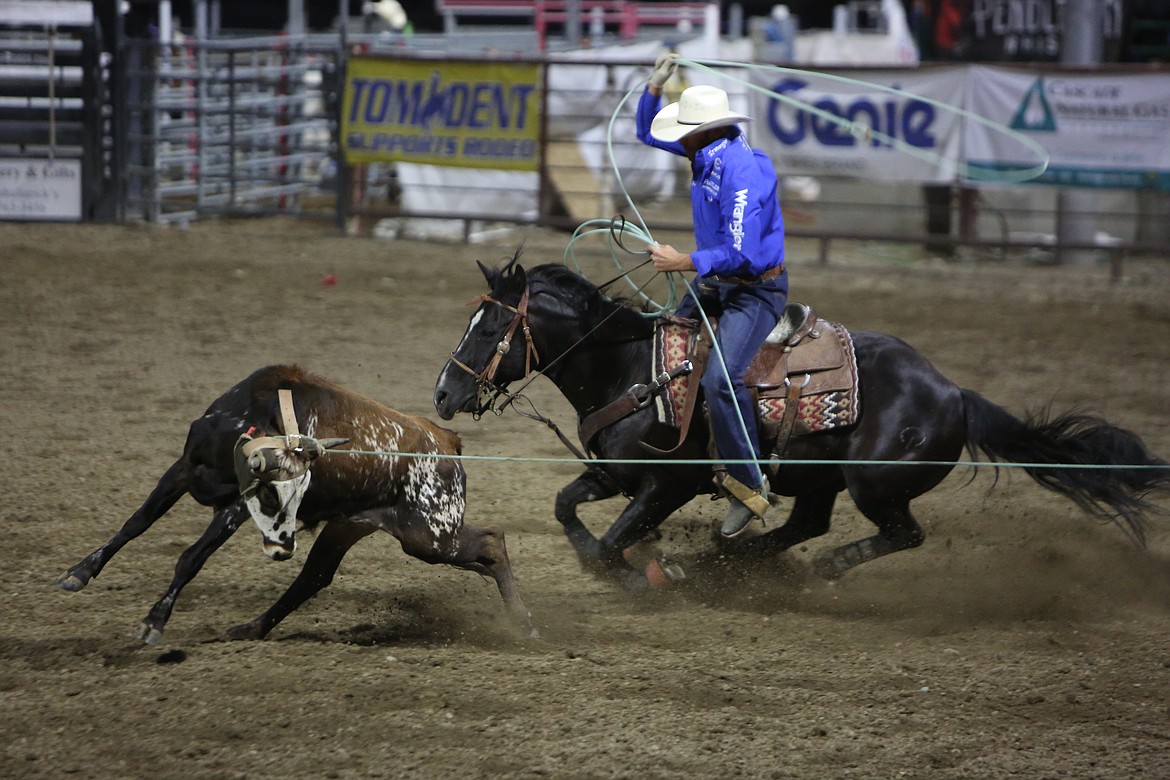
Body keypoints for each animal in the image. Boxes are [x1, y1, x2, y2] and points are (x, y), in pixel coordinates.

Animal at [432, 256, 1170, 591]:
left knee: (901, 533)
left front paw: (643, 570)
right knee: (806, 524)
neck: (631, 366)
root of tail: (953, 392)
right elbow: (565, 507)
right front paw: (636, 559)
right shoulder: (613, 472)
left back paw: (821, 565)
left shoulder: (666, 485)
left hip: (874, 483)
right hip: (820, 477)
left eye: (491, 327)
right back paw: (731, 554)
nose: (441, 393)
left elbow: (613, 542)